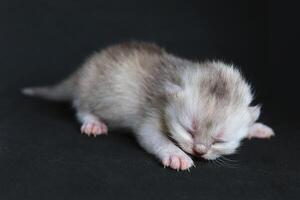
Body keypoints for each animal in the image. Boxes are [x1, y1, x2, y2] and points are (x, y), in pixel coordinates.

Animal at [22, 41, 274, 170]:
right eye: (189, 130)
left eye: (220, 141)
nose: (199, 151)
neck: (177, 73)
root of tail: (81, 72)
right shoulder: (152, 110)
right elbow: (152, 136)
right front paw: (176, 155)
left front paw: (256, 127)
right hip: (90, 91)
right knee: (81, 108)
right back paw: (93, 122)